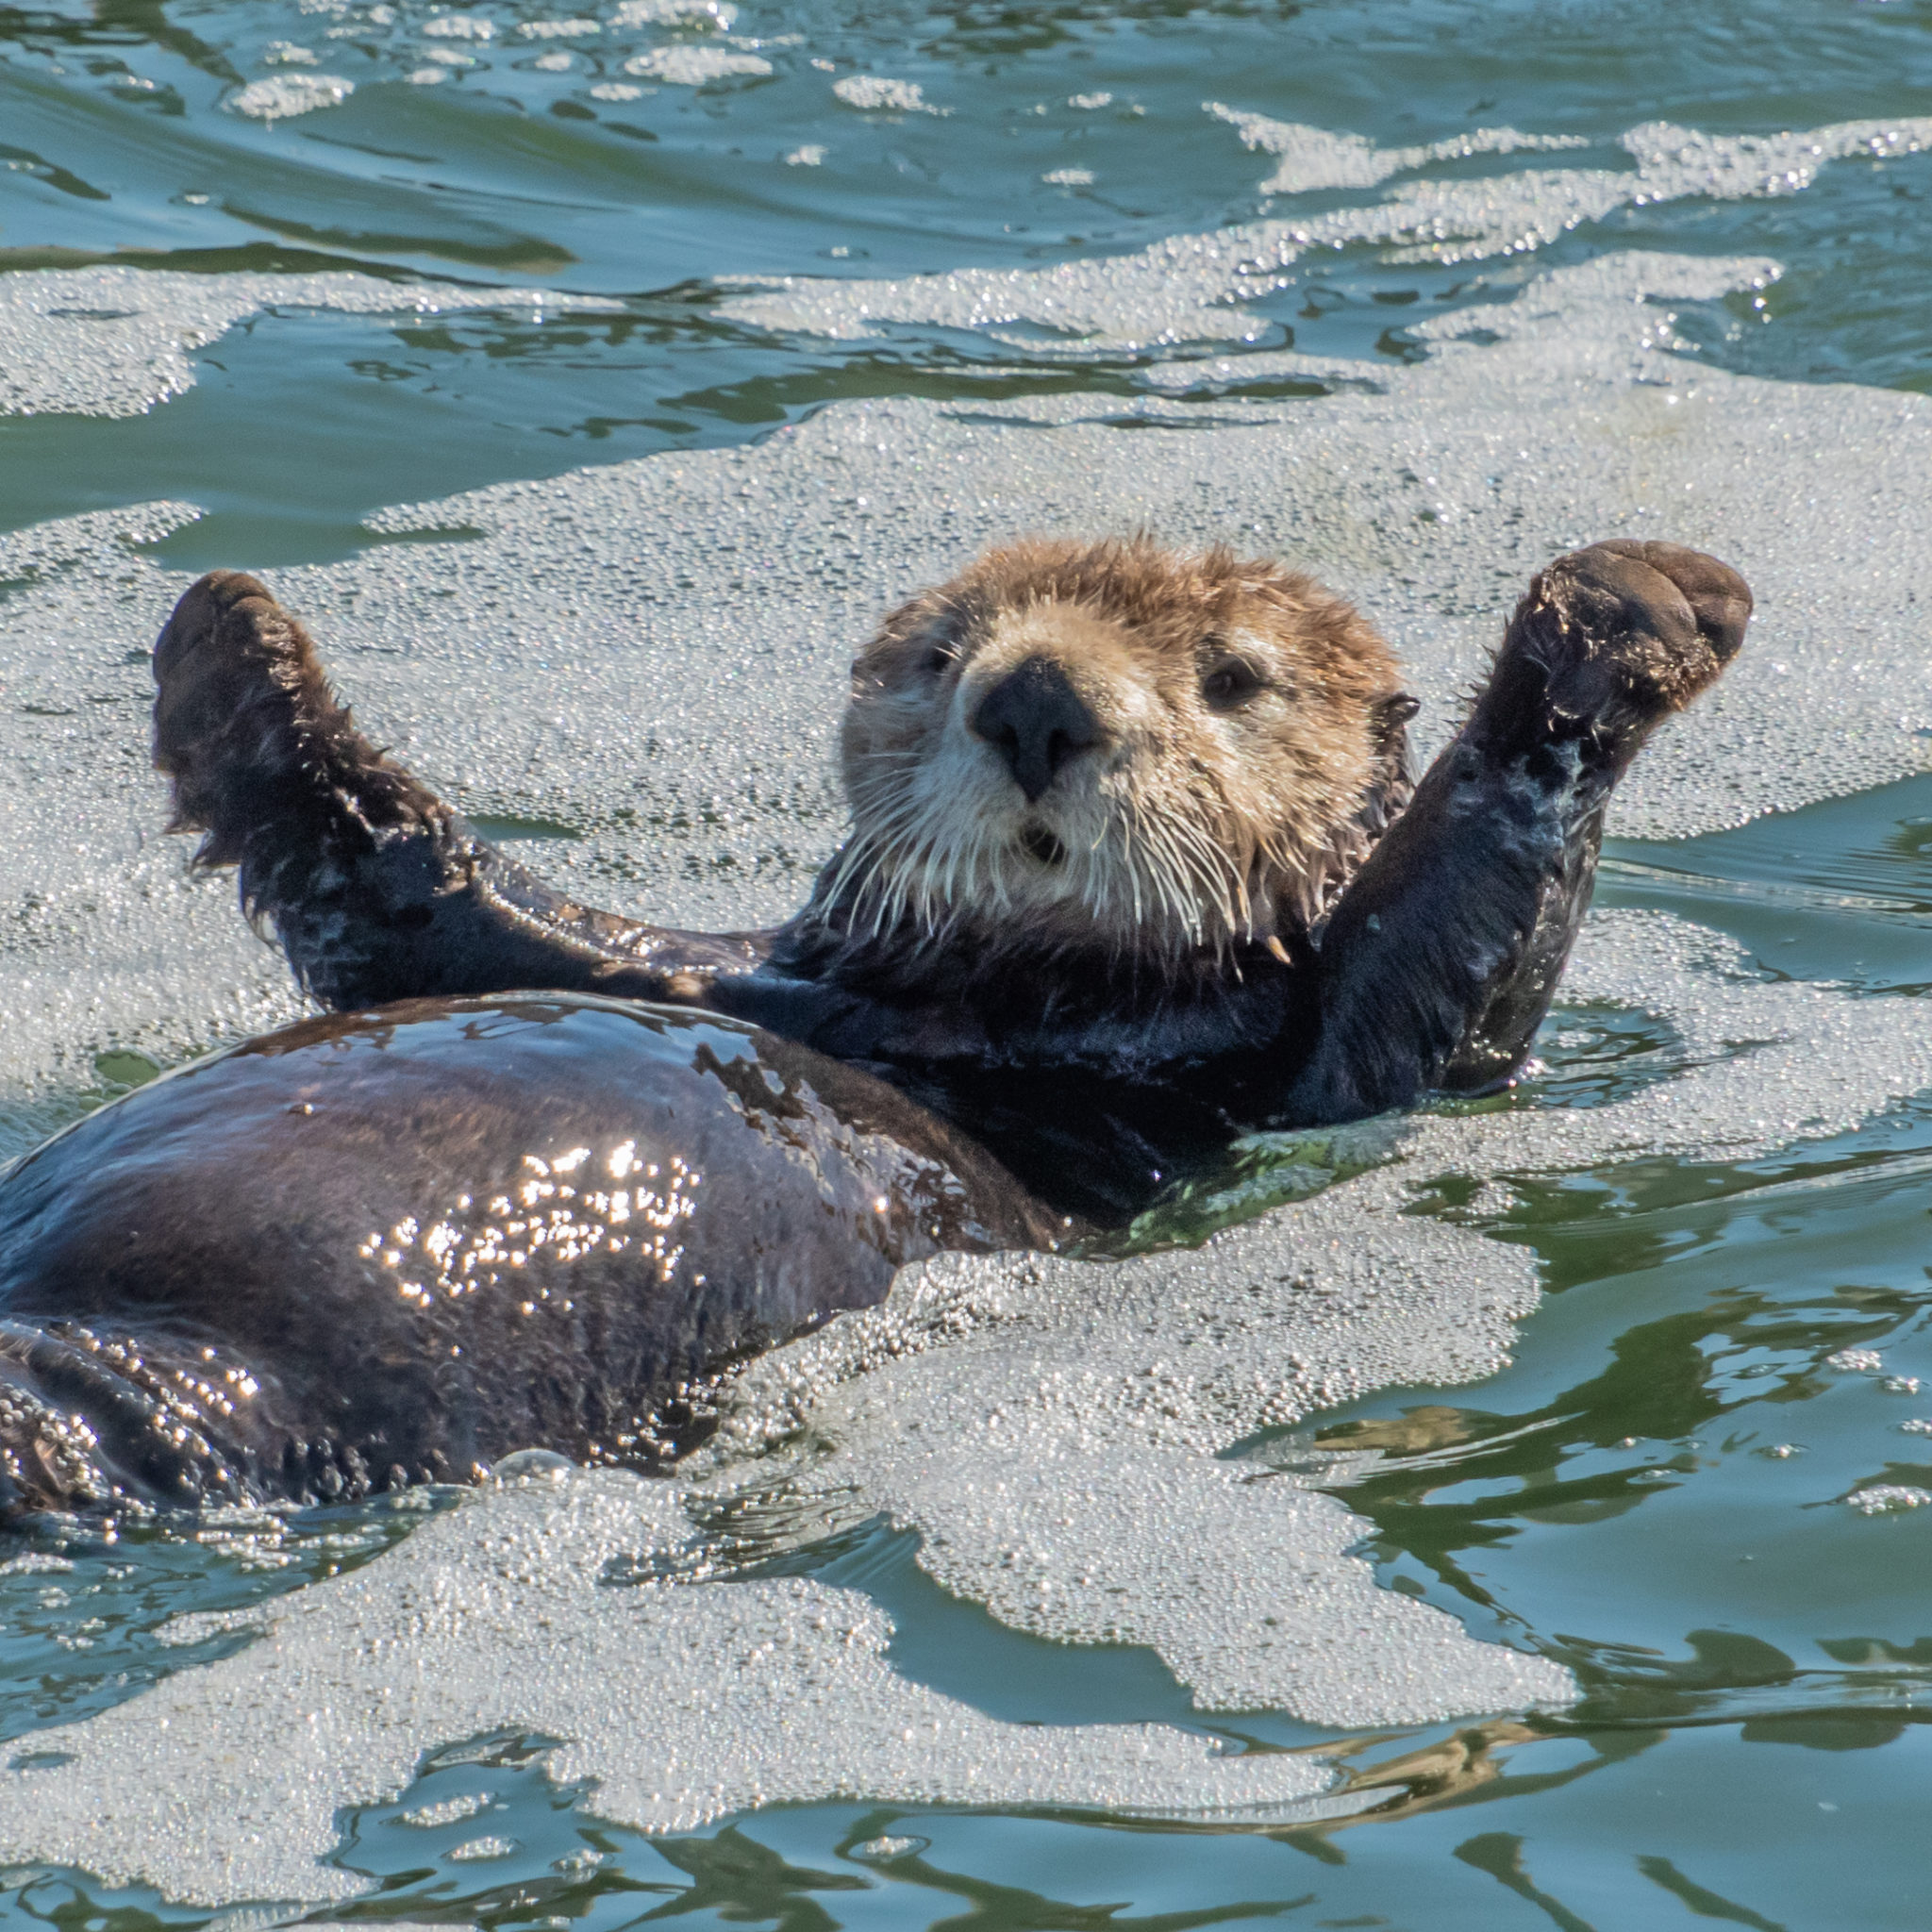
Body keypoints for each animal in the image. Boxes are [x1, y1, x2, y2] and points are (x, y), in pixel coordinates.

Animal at [0, 537, 1754, 1514]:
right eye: (936, 653)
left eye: (1236, 678)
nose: (1034, 699)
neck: (1007, 1008)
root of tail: (83, 1387)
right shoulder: (707, 968)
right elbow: (410, 900)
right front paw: (231, 650)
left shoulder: (1316, 1073)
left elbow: (1443, 955)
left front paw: (1631, 610)